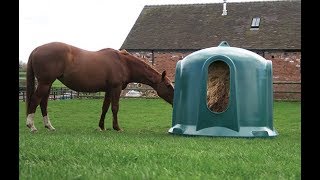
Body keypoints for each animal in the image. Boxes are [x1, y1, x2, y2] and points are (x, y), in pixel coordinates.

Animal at [26, 41, 174, 132]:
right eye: (168, 85)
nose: (175, 101)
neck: (124, 63)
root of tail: (36, 49)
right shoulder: (115, 89)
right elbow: (115, 108)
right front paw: (117, 128)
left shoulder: (108, 90)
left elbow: (105, 108)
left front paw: (101, 127)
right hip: (45, 83)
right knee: (35, 100)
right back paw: (31, 126)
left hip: (48, 84)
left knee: (43, 103)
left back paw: (49, 126)